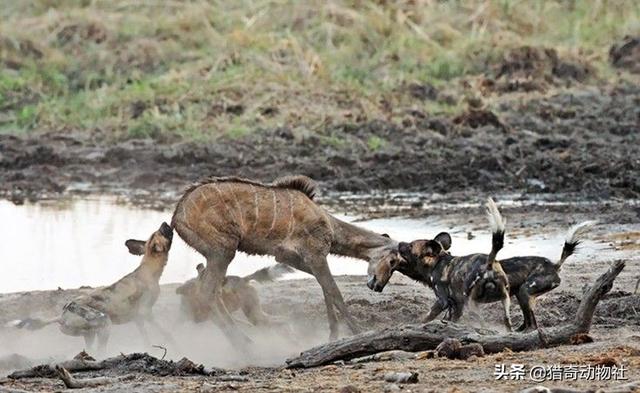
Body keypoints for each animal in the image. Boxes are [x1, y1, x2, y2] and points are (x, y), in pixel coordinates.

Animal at [8, 220, 178, 352]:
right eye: (162, 232)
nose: (165, 223)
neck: (149, 270)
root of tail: (61, 316)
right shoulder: (146, 312)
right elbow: (165, 332)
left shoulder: (138, 319)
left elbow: (146, 338)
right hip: (105, 323)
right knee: (100, 351)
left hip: (89, 334)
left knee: (91, 350)